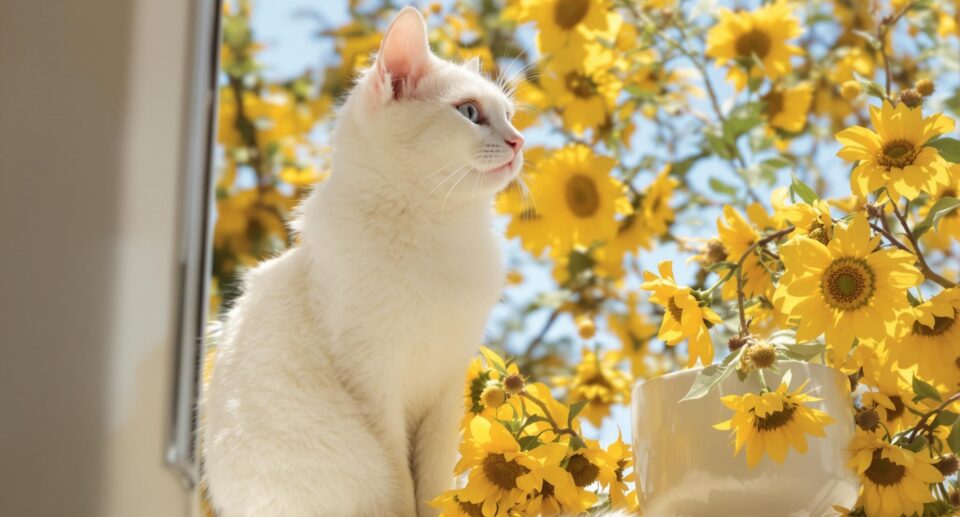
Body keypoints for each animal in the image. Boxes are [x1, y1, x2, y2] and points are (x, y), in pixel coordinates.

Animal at [204, 7, 524, 516]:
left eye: (509, 116)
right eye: (470, 112)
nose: (519, 141)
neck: (437, 231)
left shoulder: (445, 389)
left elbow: (434, 486)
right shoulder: (373, 385)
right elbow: (401, 487)